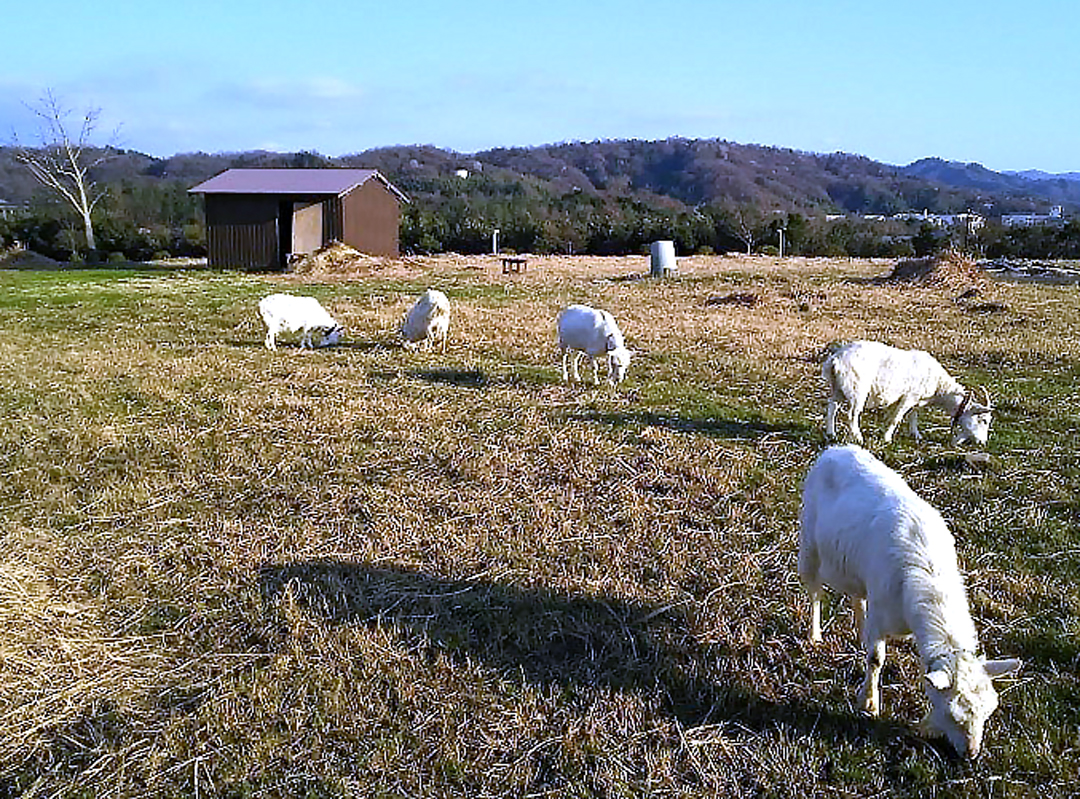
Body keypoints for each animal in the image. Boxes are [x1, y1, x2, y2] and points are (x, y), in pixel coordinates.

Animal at [803, 447, 1019, 760]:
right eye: (952, 714)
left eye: (989, 711)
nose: (971, 754)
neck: (930, 576)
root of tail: (837, 449)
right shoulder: (881, 614)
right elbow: (875, 658)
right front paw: (868, 703)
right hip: (809, 544)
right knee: (815, 592)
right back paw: (814, 635)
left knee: (857, 598)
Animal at [820, 341, 989, 447]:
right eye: (984, 420)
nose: (982, 443)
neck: (939, 387)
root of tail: (835, 360)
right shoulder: (909, 397)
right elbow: (896, 418)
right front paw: (887, 438)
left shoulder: (915, 400)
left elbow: (913, 415)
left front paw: (915, 434)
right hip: (857, 389)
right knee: (852, 415)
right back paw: (858, 438)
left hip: (838, 387)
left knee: (832, 407)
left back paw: (831, 434)